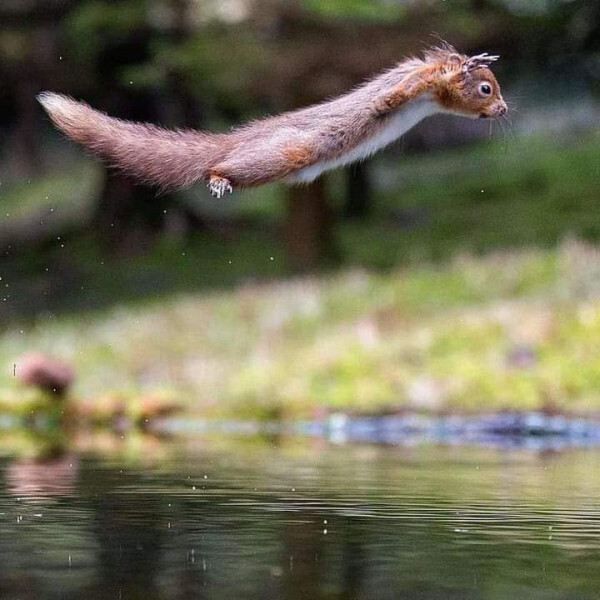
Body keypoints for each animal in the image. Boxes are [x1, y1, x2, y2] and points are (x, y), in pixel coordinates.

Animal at [38, 45, 506, 199]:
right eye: (486, 89)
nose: (503, 110)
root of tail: (238, 139)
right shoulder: (407, 85)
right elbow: (395, 95)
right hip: (286, 150)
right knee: (226, 165)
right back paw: (218, 177)